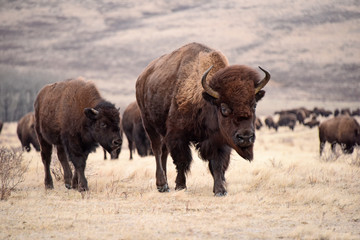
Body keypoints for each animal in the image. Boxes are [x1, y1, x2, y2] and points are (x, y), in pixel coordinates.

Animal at [135, 42, 270, 196]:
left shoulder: (219, 141)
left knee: (164, 152)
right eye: (223, 108)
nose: (246, 137)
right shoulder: (177, 136)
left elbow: (217, 164)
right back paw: (162, 185)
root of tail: (142, 78)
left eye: (254, 105)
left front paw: (220, 190)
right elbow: (182, 161)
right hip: (149, 125)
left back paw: (165, 184)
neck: (206, 100)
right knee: (157, 150)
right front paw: (181, 186)